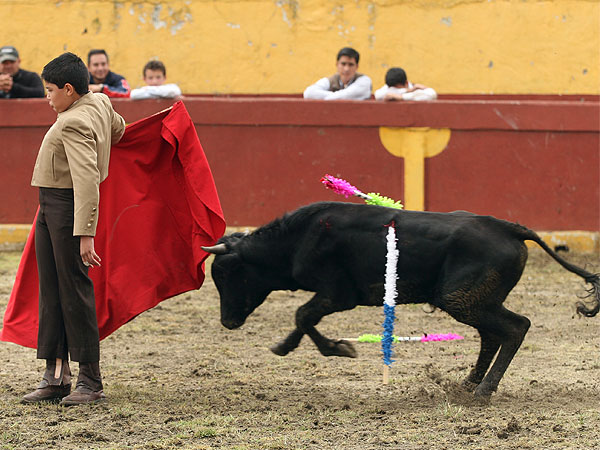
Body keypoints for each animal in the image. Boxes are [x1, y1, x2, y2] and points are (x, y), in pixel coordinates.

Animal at [204, 203, 596, 398]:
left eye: (226, 273)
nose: (227, 322)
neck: (298, 239)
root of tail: (508, 227)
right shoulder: (332, 296)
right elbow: (305, 318)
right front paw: (288, 346)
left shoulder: (338, 294)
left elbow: (303, 315)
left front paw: (338, 349)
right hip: (476, 301)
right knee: (492, 335)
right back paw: (467, 384)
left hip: (462, 299)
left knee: (516, 328)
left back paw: (484, 389)